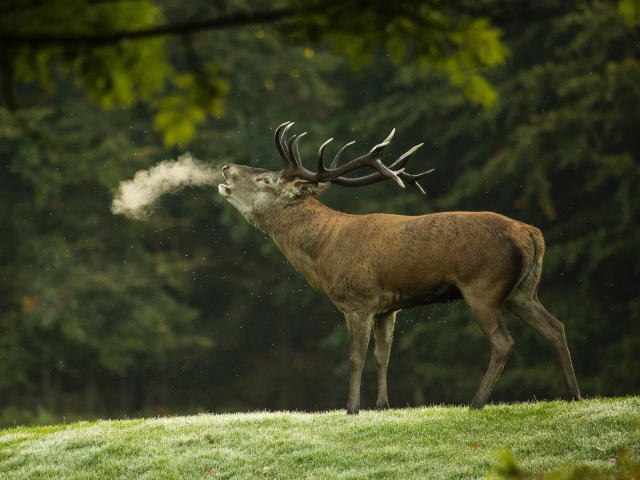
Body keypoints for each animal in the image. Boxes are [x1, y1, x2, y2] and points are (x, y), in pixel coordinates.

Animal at [218, 121, 584, 412]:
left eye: (266, 180)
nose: (225, 168)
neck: (324, 254)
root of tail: (532, 235)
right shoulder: (387, 308)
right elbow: (383, 356)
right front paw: (383, 405)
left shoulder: (358, 300)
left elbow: (356, 357)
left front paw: (352, 409)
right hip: (522, 291)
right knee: (555, 326)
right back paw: (574, 394)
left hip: (484, 286)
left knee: (503, 342)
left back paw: (476, 403)